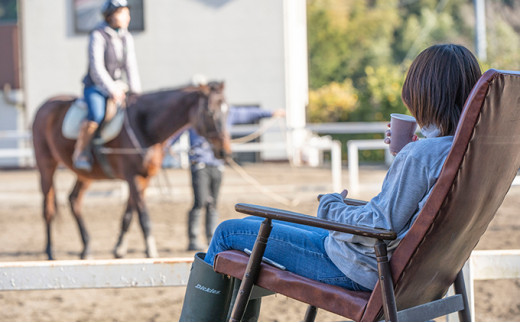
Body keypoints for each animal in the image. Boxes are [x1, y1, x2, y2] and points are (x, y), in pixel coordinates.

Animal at [31, 81, 230, 260]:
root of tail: (46, 105)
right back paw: (50, 251)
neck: (146, 126)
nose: (225, 152)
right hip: (46, 166)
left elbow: (128, 215)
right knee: (48, 208)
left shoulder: (144, 179)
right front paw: (151, 251)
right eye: (210, 112)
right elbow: (143, 216)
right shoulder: (132, 177)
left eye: (227, 111)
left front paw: (119, 249)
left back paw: (86, 248)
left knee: (74, 200)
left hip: (85, 175)